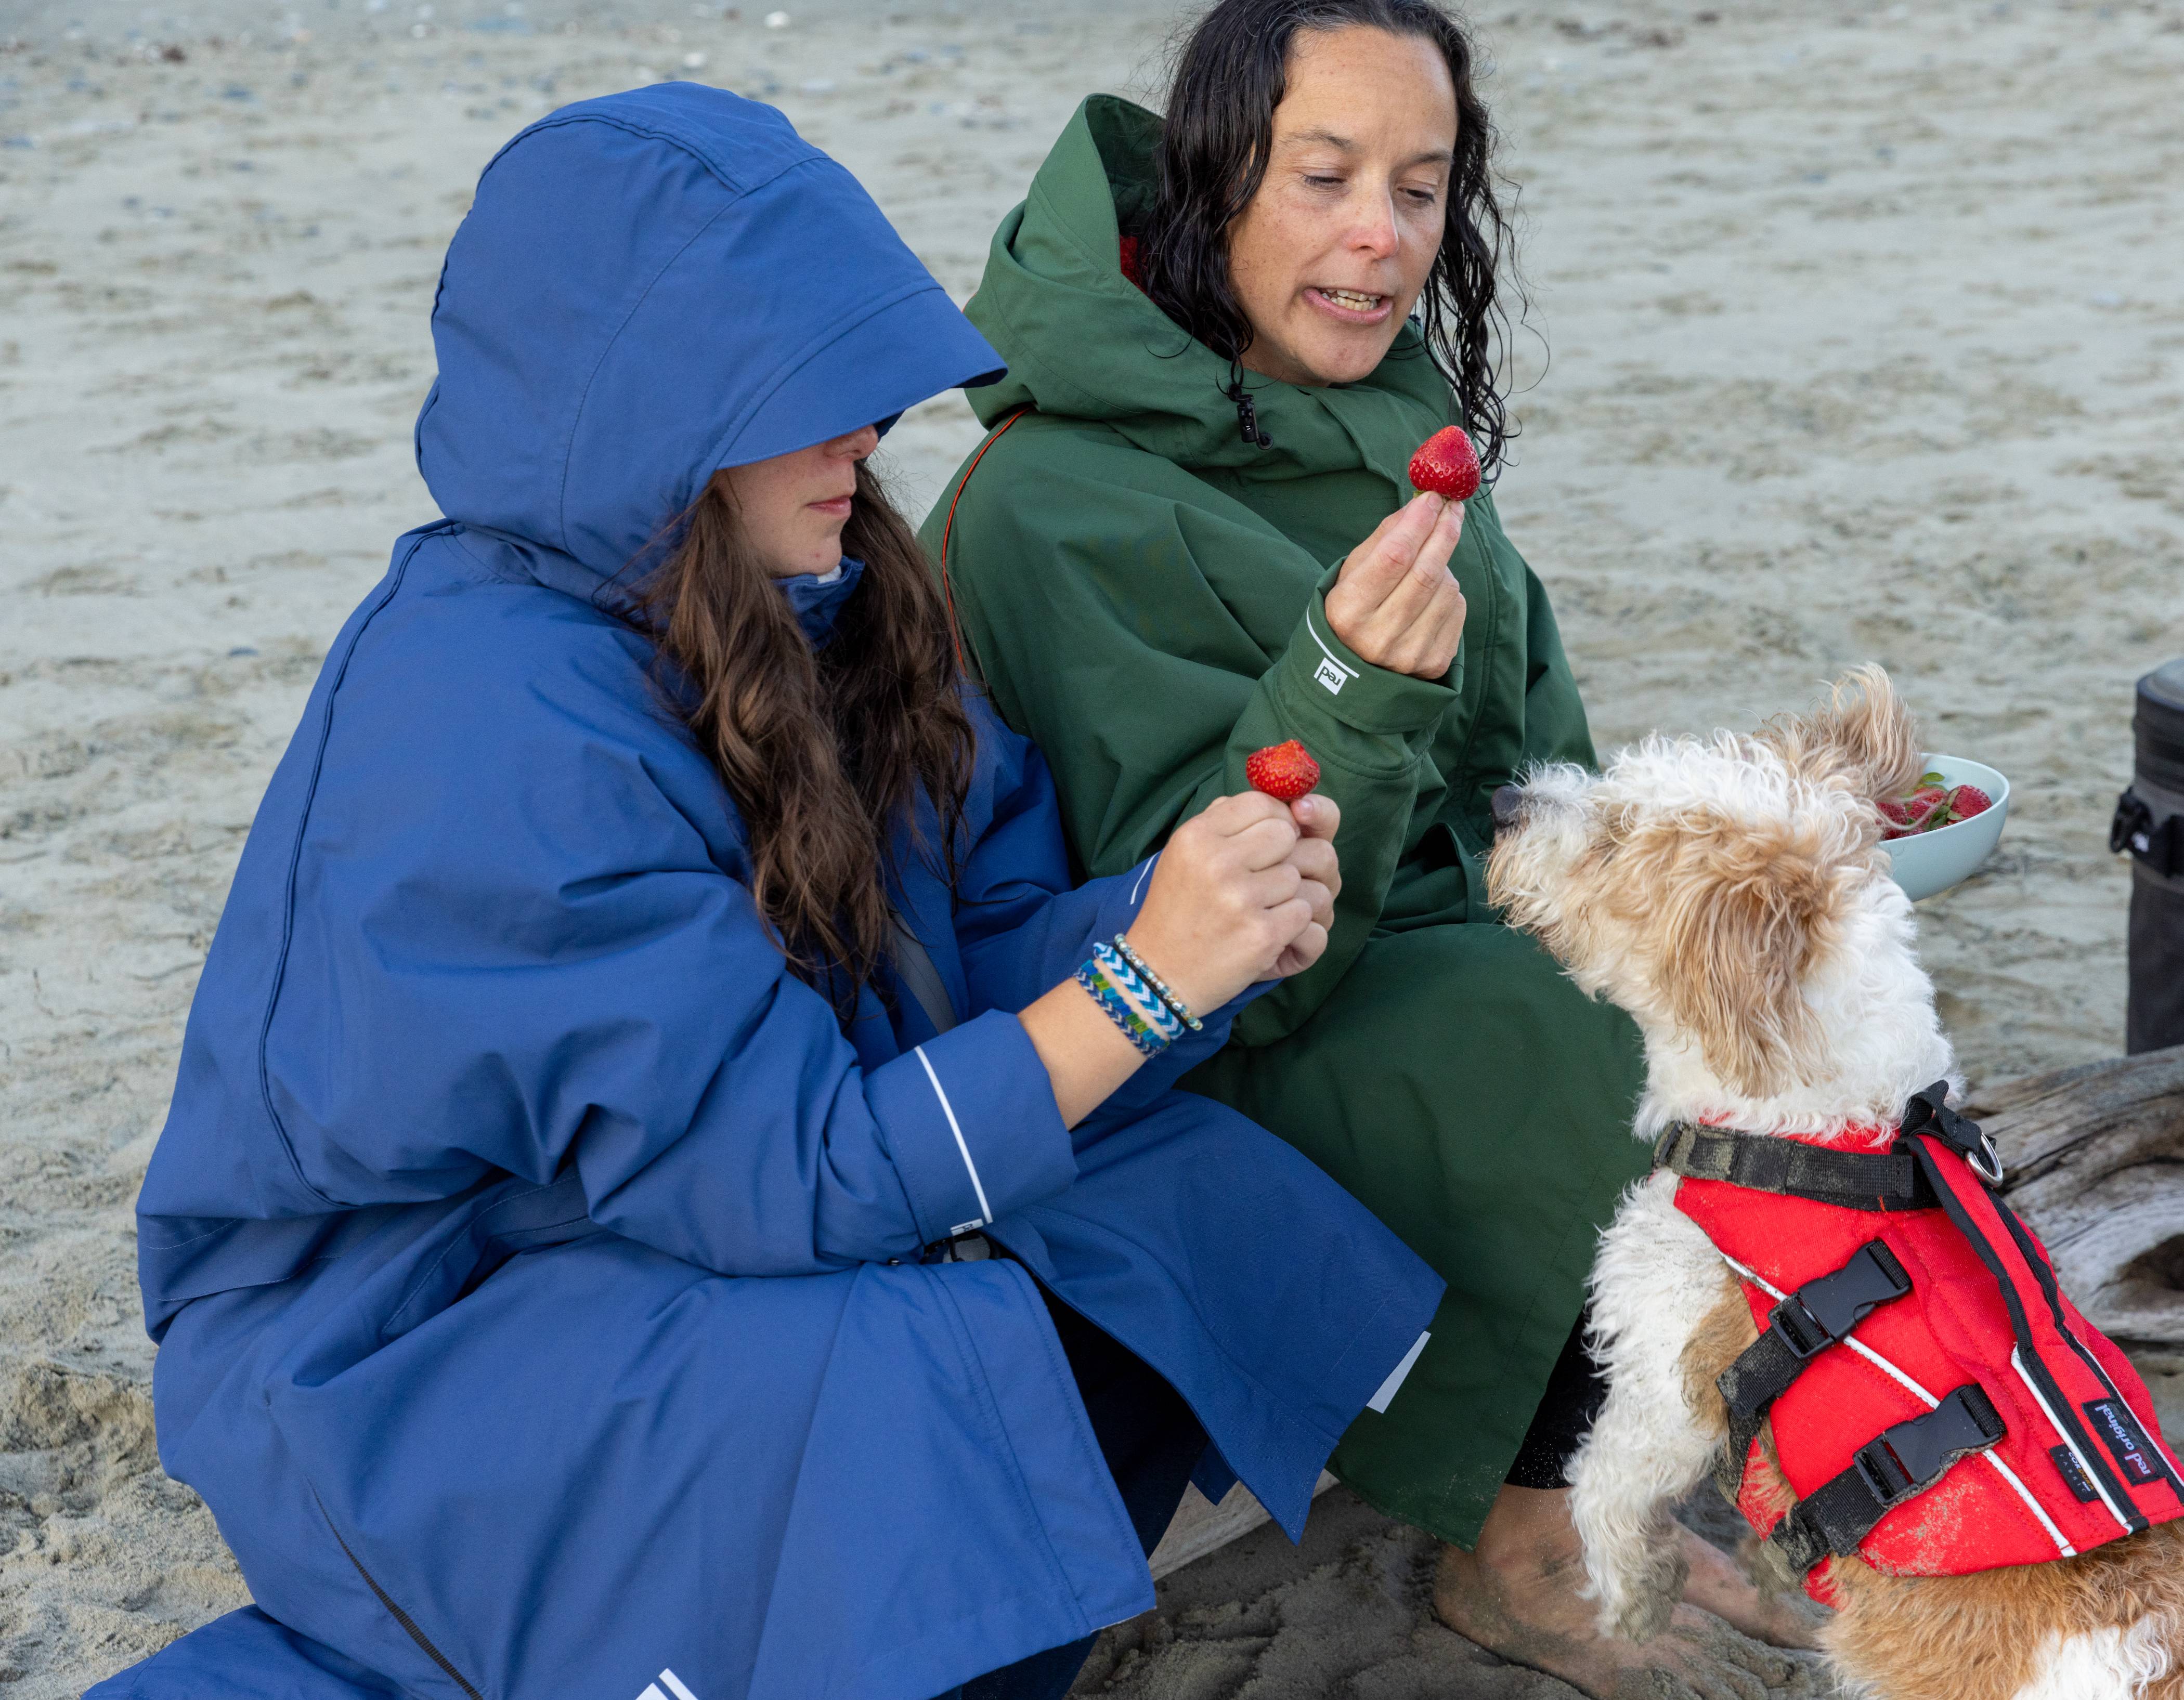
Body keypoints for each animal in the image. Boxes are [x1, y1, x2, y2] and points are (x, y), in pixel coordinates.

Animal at [1484, 666, 2184, 1700]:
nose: (1502, 801)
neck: (1829, 1139)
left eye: (1614, 835)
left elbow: (1601, 1485)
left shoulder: (1666, 1382)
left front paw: (1631, 1605)